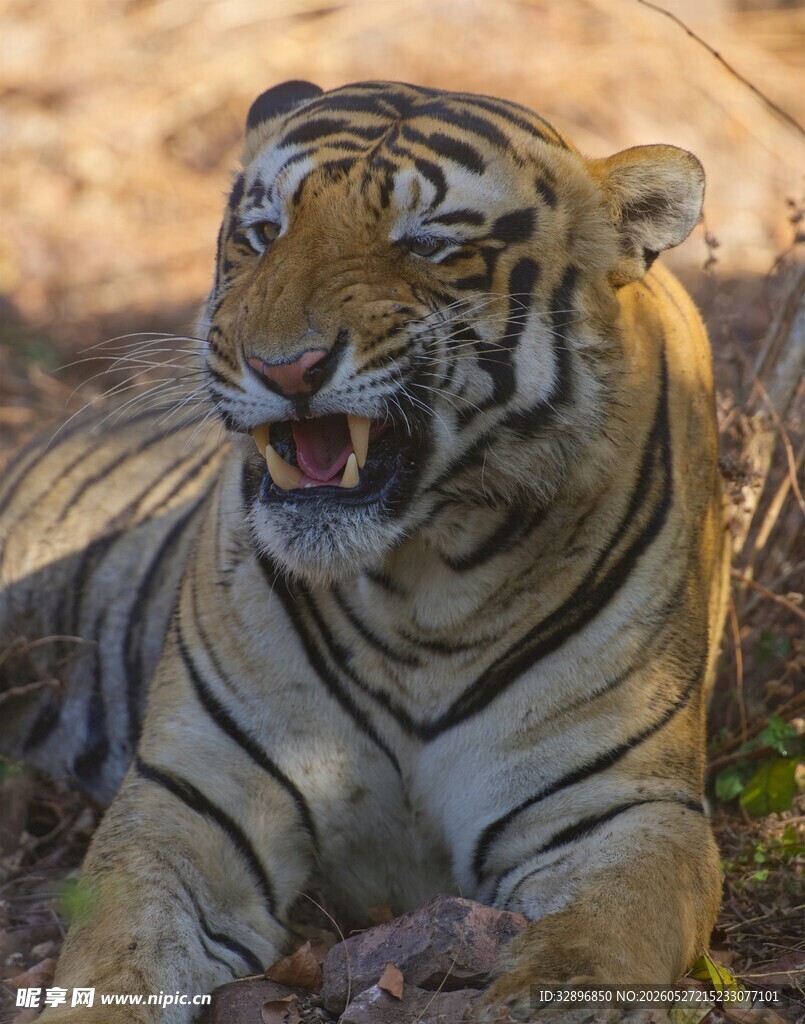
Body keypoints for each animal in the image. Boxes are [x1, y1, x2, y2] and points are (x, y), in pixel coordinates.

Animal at [0, 80, 730, 1022]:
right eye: (264, 231)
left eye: (426, 244)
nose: (283, 367)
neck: (425, 578)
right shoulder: (194, 800)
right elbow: (116, 957)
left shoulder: (621, 808)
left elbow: (588, 960)